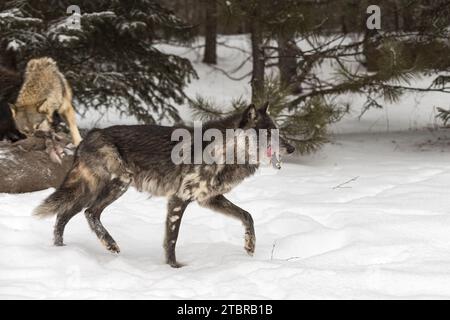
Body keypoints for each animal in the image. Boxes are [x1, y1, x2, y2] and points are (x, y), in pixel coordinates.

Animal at [34, 103, 296, 268]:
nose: (292, 148)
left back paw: (62, 250)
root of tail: (89, 136)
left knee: (65, 215)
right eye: (268, 133)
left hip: (93, 190)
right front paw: (174, 267)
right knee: (87, 213)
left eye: (278, 131)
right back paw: (107, 244)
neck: (223, 151)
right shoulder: (179, 200)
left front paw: (250, 246)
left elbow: (247, 215)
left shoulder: (209, 199)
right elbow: (172, 239)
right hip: (116, 184)